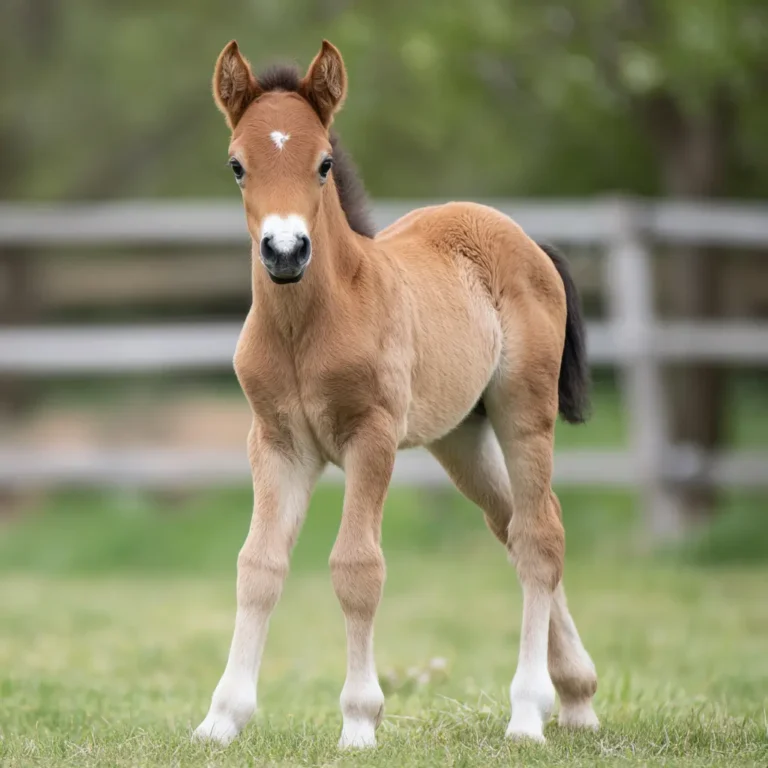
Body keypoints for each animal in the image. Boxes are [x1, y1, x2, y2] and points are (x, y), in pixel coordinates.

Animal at [193, 39, 599, 749]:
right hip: (460, 437)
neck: (309, 326)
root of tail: (522, 237)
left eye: (324, 162)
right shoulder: (276, 443)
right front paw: (222, 718)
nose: (285, 251)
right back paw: (576, 697)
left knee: (541, 536)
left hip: (524, 412)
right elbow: (259, 566)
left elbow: (358, 569)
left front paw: (359, 720)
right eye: (237, 165)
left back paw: (528, 711)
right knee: (514, 527)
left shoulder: (371, 437)